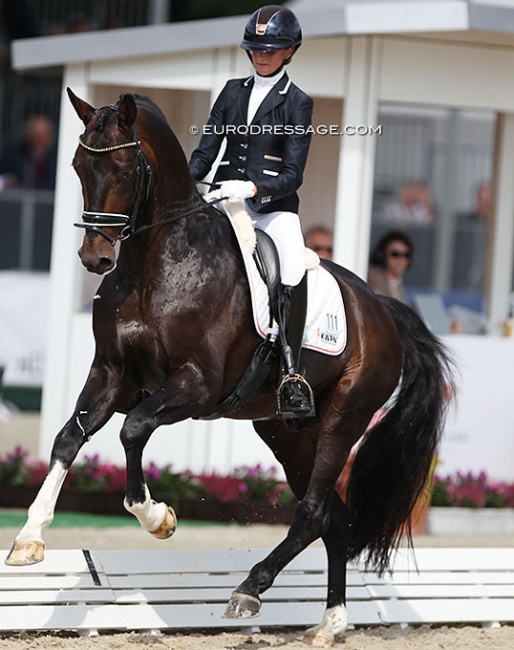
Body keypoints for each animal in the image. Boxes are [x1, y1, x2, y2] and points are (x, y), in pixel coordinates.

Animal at [6, 90, 450, 644]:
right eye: (77, 165)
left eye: (127, 169)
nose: (95, 258)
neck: (156, 261)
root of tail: (382, 309)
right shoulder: (111, 374)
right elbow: (69, 437)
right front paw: (28, 538)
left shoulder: (197, 386)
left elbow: (133, 430)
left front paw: (158, 517)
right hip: (287, 432)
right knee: (334, 516)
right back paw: (329, 622)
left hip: (344, 418)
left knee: (311, 513)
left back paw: (249, 590)